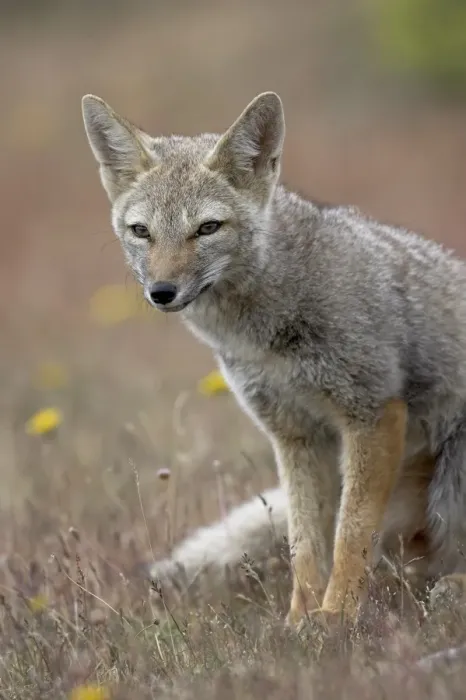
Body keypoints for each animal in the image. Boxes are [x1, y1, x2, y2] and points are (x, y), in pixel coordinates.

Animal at [82, 90, 466, 628]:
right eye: (141, 232)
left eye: (207, 228)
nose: (161, 291)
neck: (266, 334)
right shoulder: (295, 435)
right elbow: (305, 545)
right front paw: (299, 623)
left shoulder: (373, 413)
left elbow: (349, 537)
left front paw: (337, 619)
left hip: (452, 482)